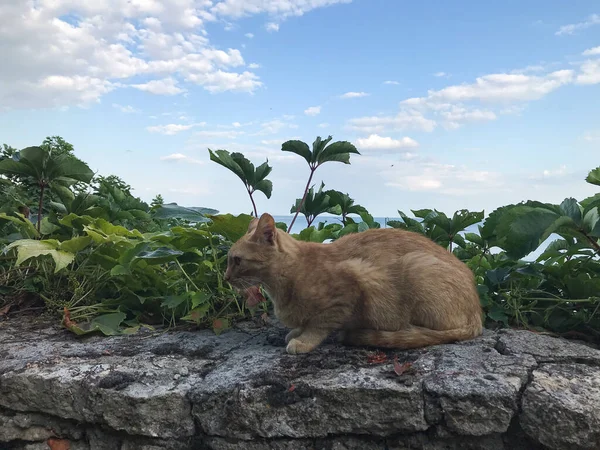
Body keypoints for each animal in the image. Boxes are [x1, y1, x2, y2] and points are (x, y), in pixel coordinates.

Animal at [225, 213, 482, 354]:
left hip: (415, 266)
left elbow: (319, 325)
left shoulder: (352, 285)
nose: (226, 277)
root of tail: (477, 315)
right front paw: (296, 331)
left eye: (236, 260)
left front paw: (304, 340)